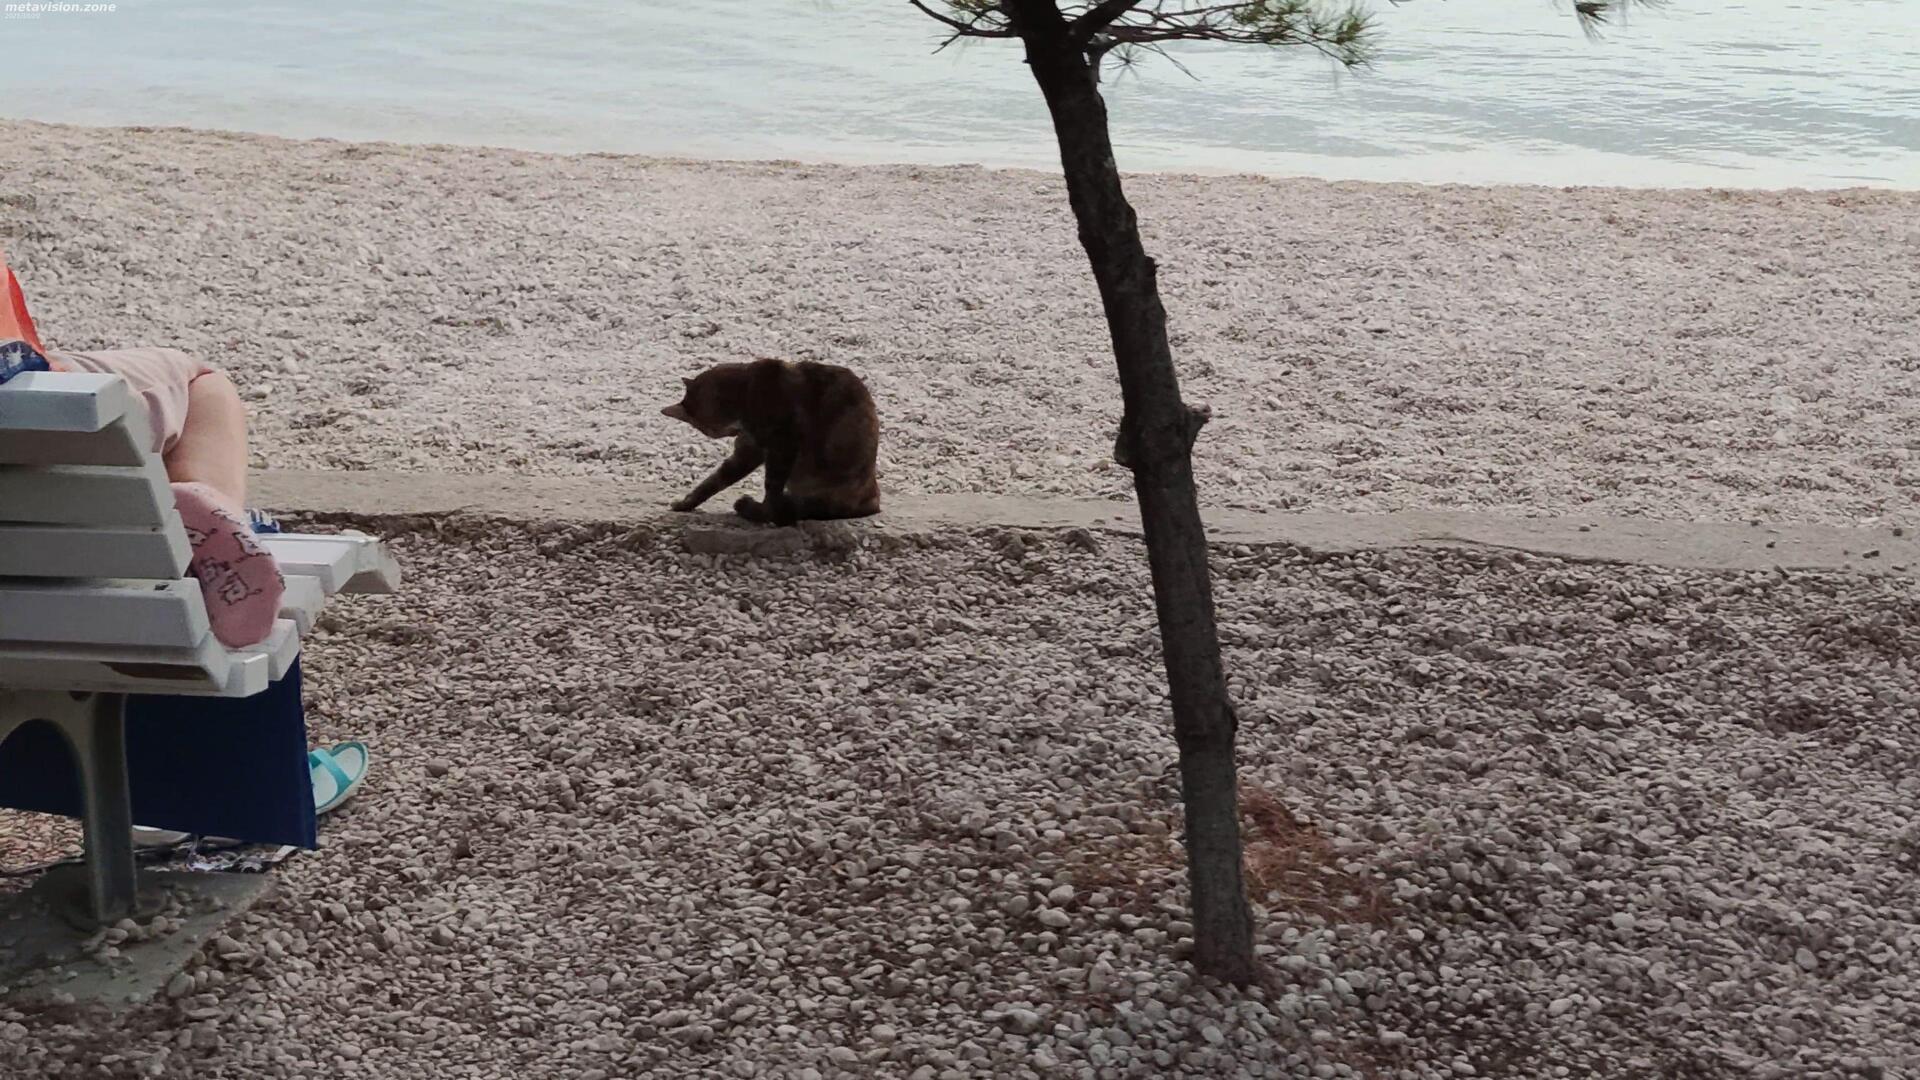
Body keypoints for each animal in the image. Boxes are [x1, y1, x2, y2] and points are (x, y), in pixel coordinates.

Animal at [662, 358, 881, 525]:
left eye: (706, 429)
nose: (721, 435)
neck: (745, 389)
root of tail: (874, 500)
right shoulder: (750, 449)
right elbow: (714, 481)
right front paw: (686, 503)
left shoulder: (782, 445)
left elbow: (771, 487)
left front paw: (763, 512)